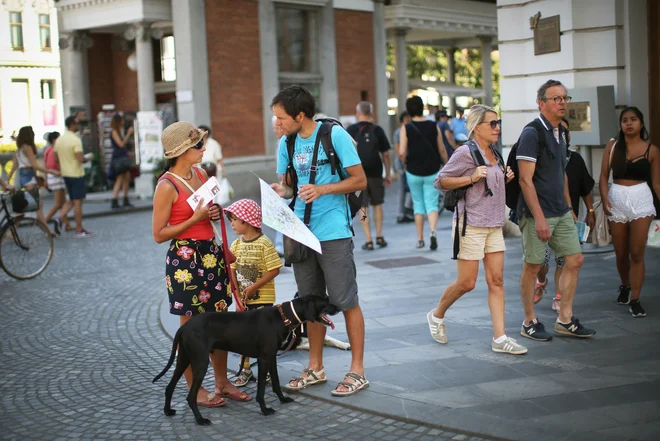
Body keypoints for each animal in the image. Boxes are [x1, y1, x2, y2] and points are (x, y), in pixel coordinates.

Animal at [153, 294, 338, 424]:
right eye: (325, 301)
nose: (338, 306)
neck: (282, 316)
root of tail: (184, 327)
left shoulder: (271, 358)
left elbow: (276, 382)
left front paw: (283, 399)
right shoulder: (264, 359)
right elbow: (261, 389)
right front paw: (265, 409)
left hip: (184, 360)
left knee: (169, 387)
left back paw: (168, 411)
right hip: (200, 363)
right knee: (190, 397)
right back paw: (200, 420)